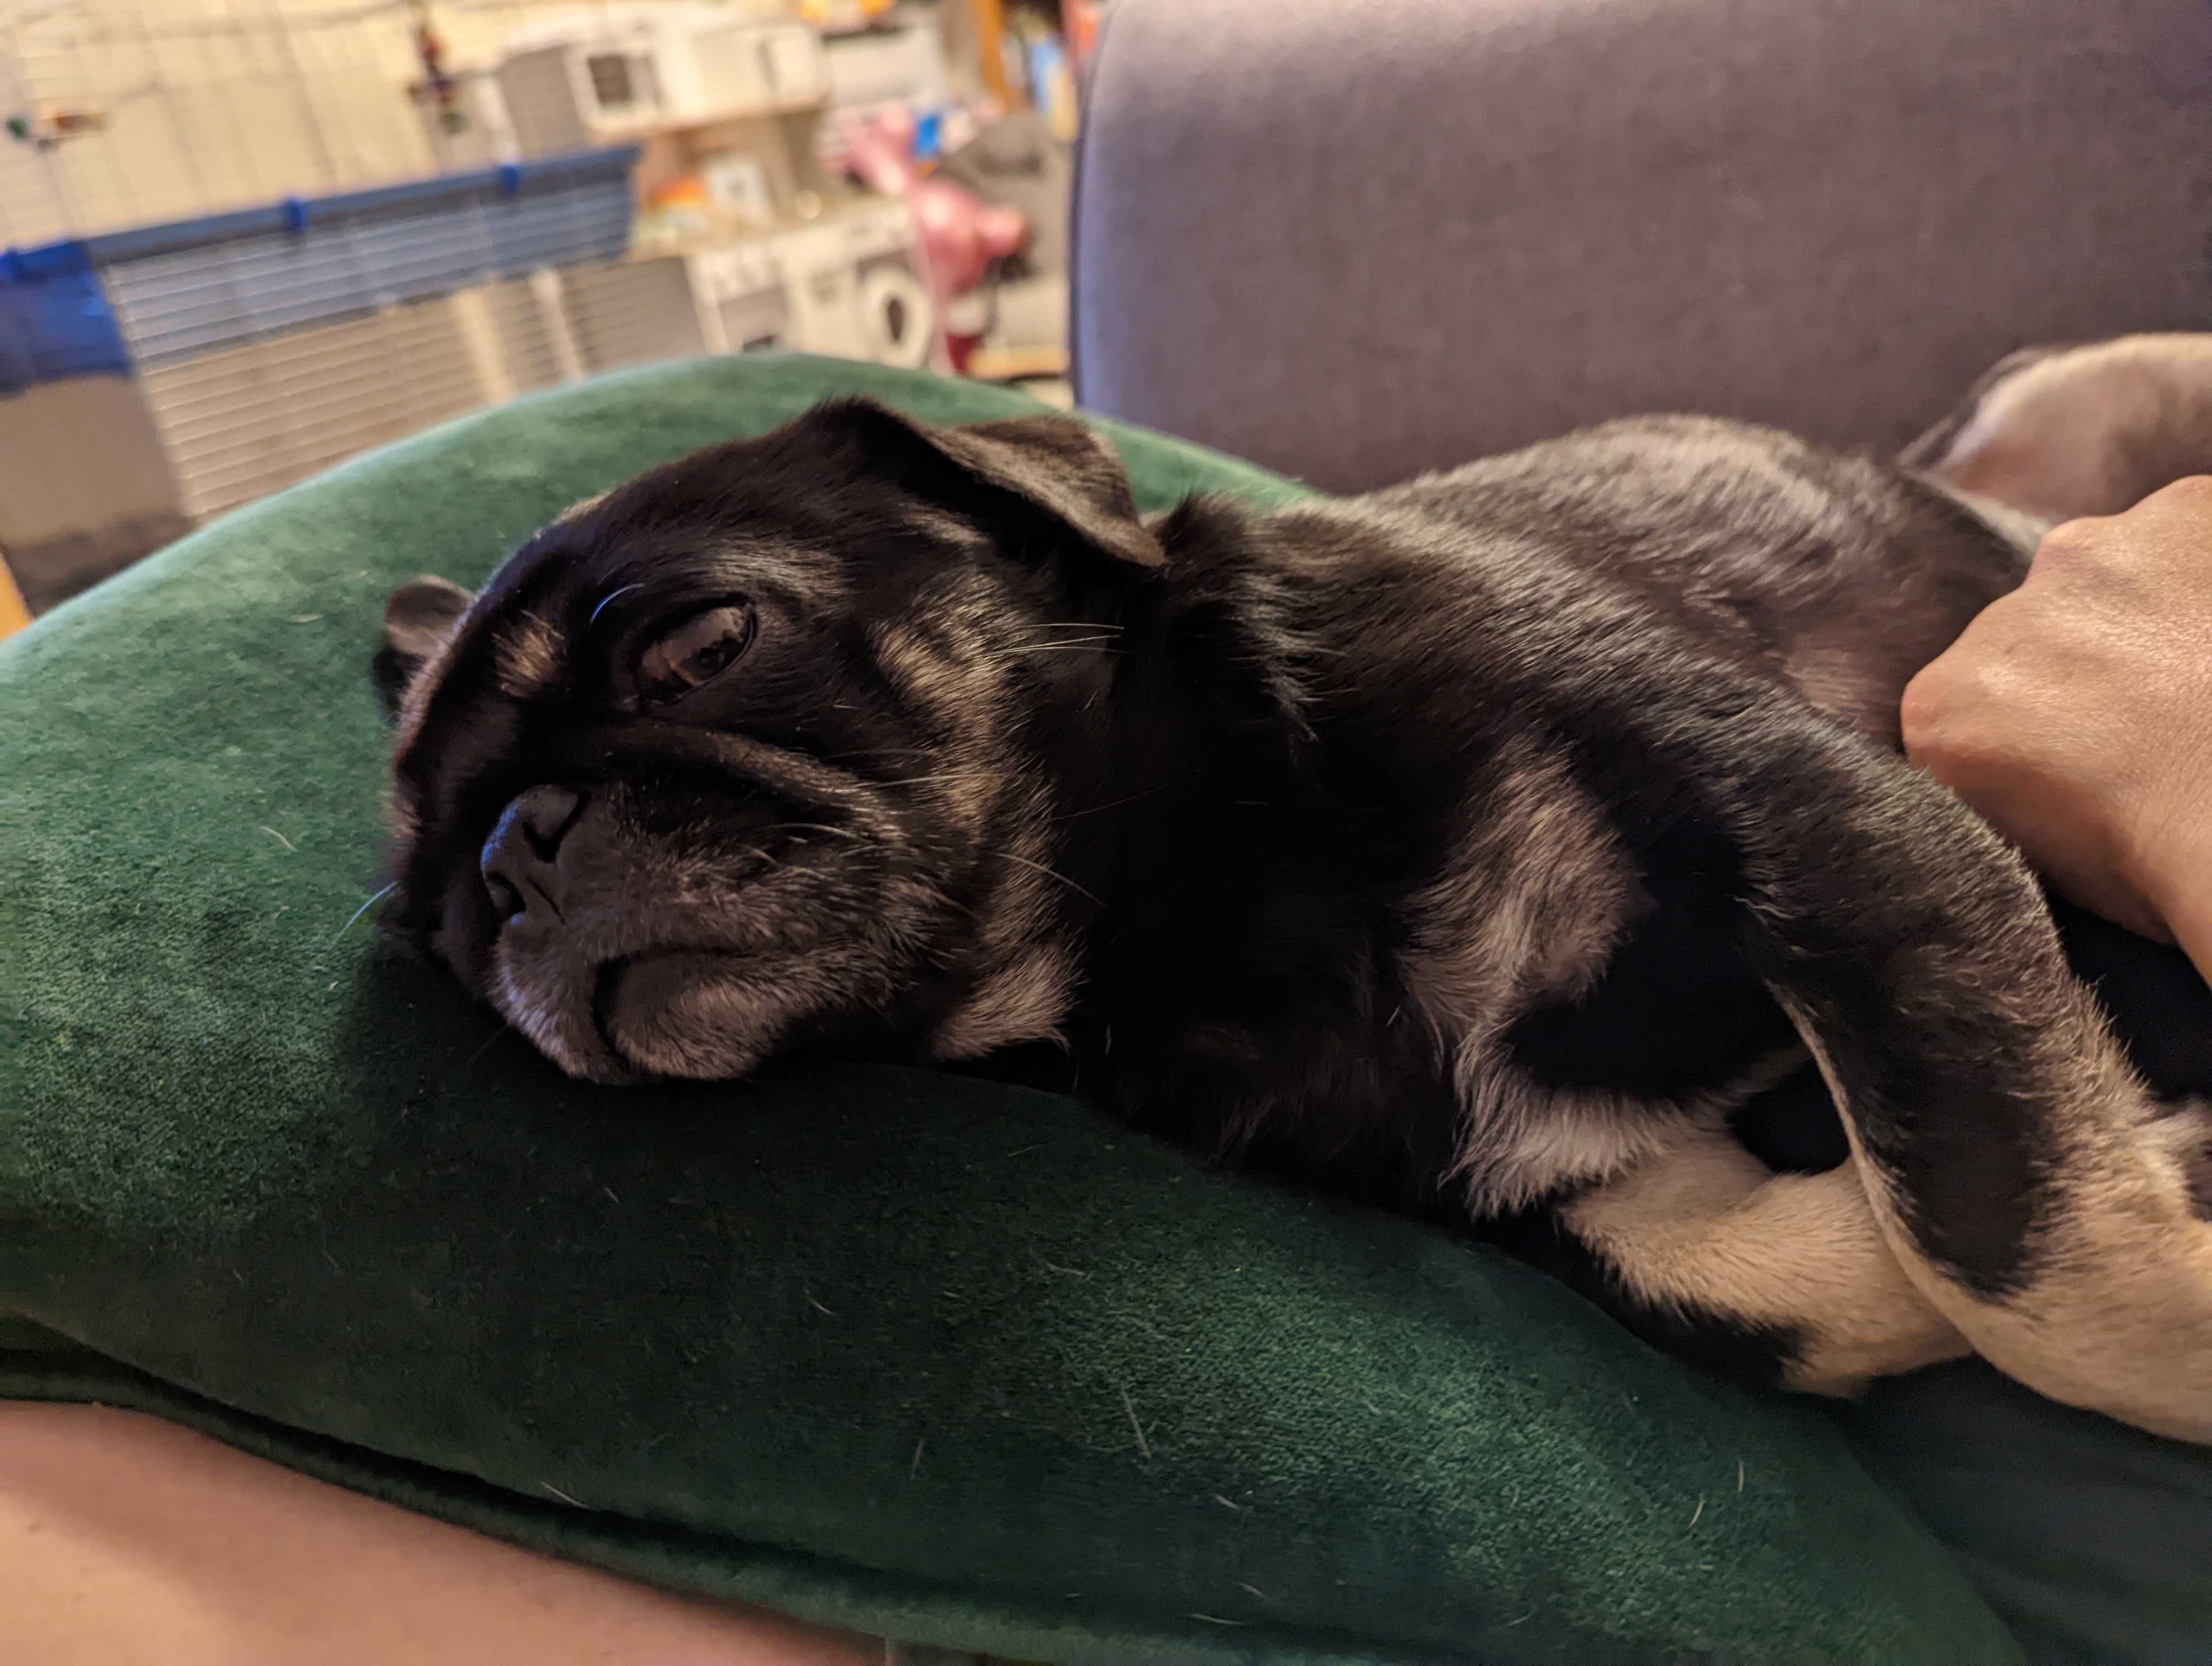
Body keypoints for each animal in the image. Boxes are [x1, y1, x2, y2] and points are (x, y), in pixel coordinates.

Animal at [380, 331, 2212, 1433]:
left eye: (702, 642)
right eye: (439, 916)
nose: (518, 849)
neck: (1181, 887)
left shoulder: (1828, 830)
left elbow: (2016, 1253)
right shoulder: (1589, 1182)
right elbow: (1804, 1290)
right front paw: (2175, 1167)